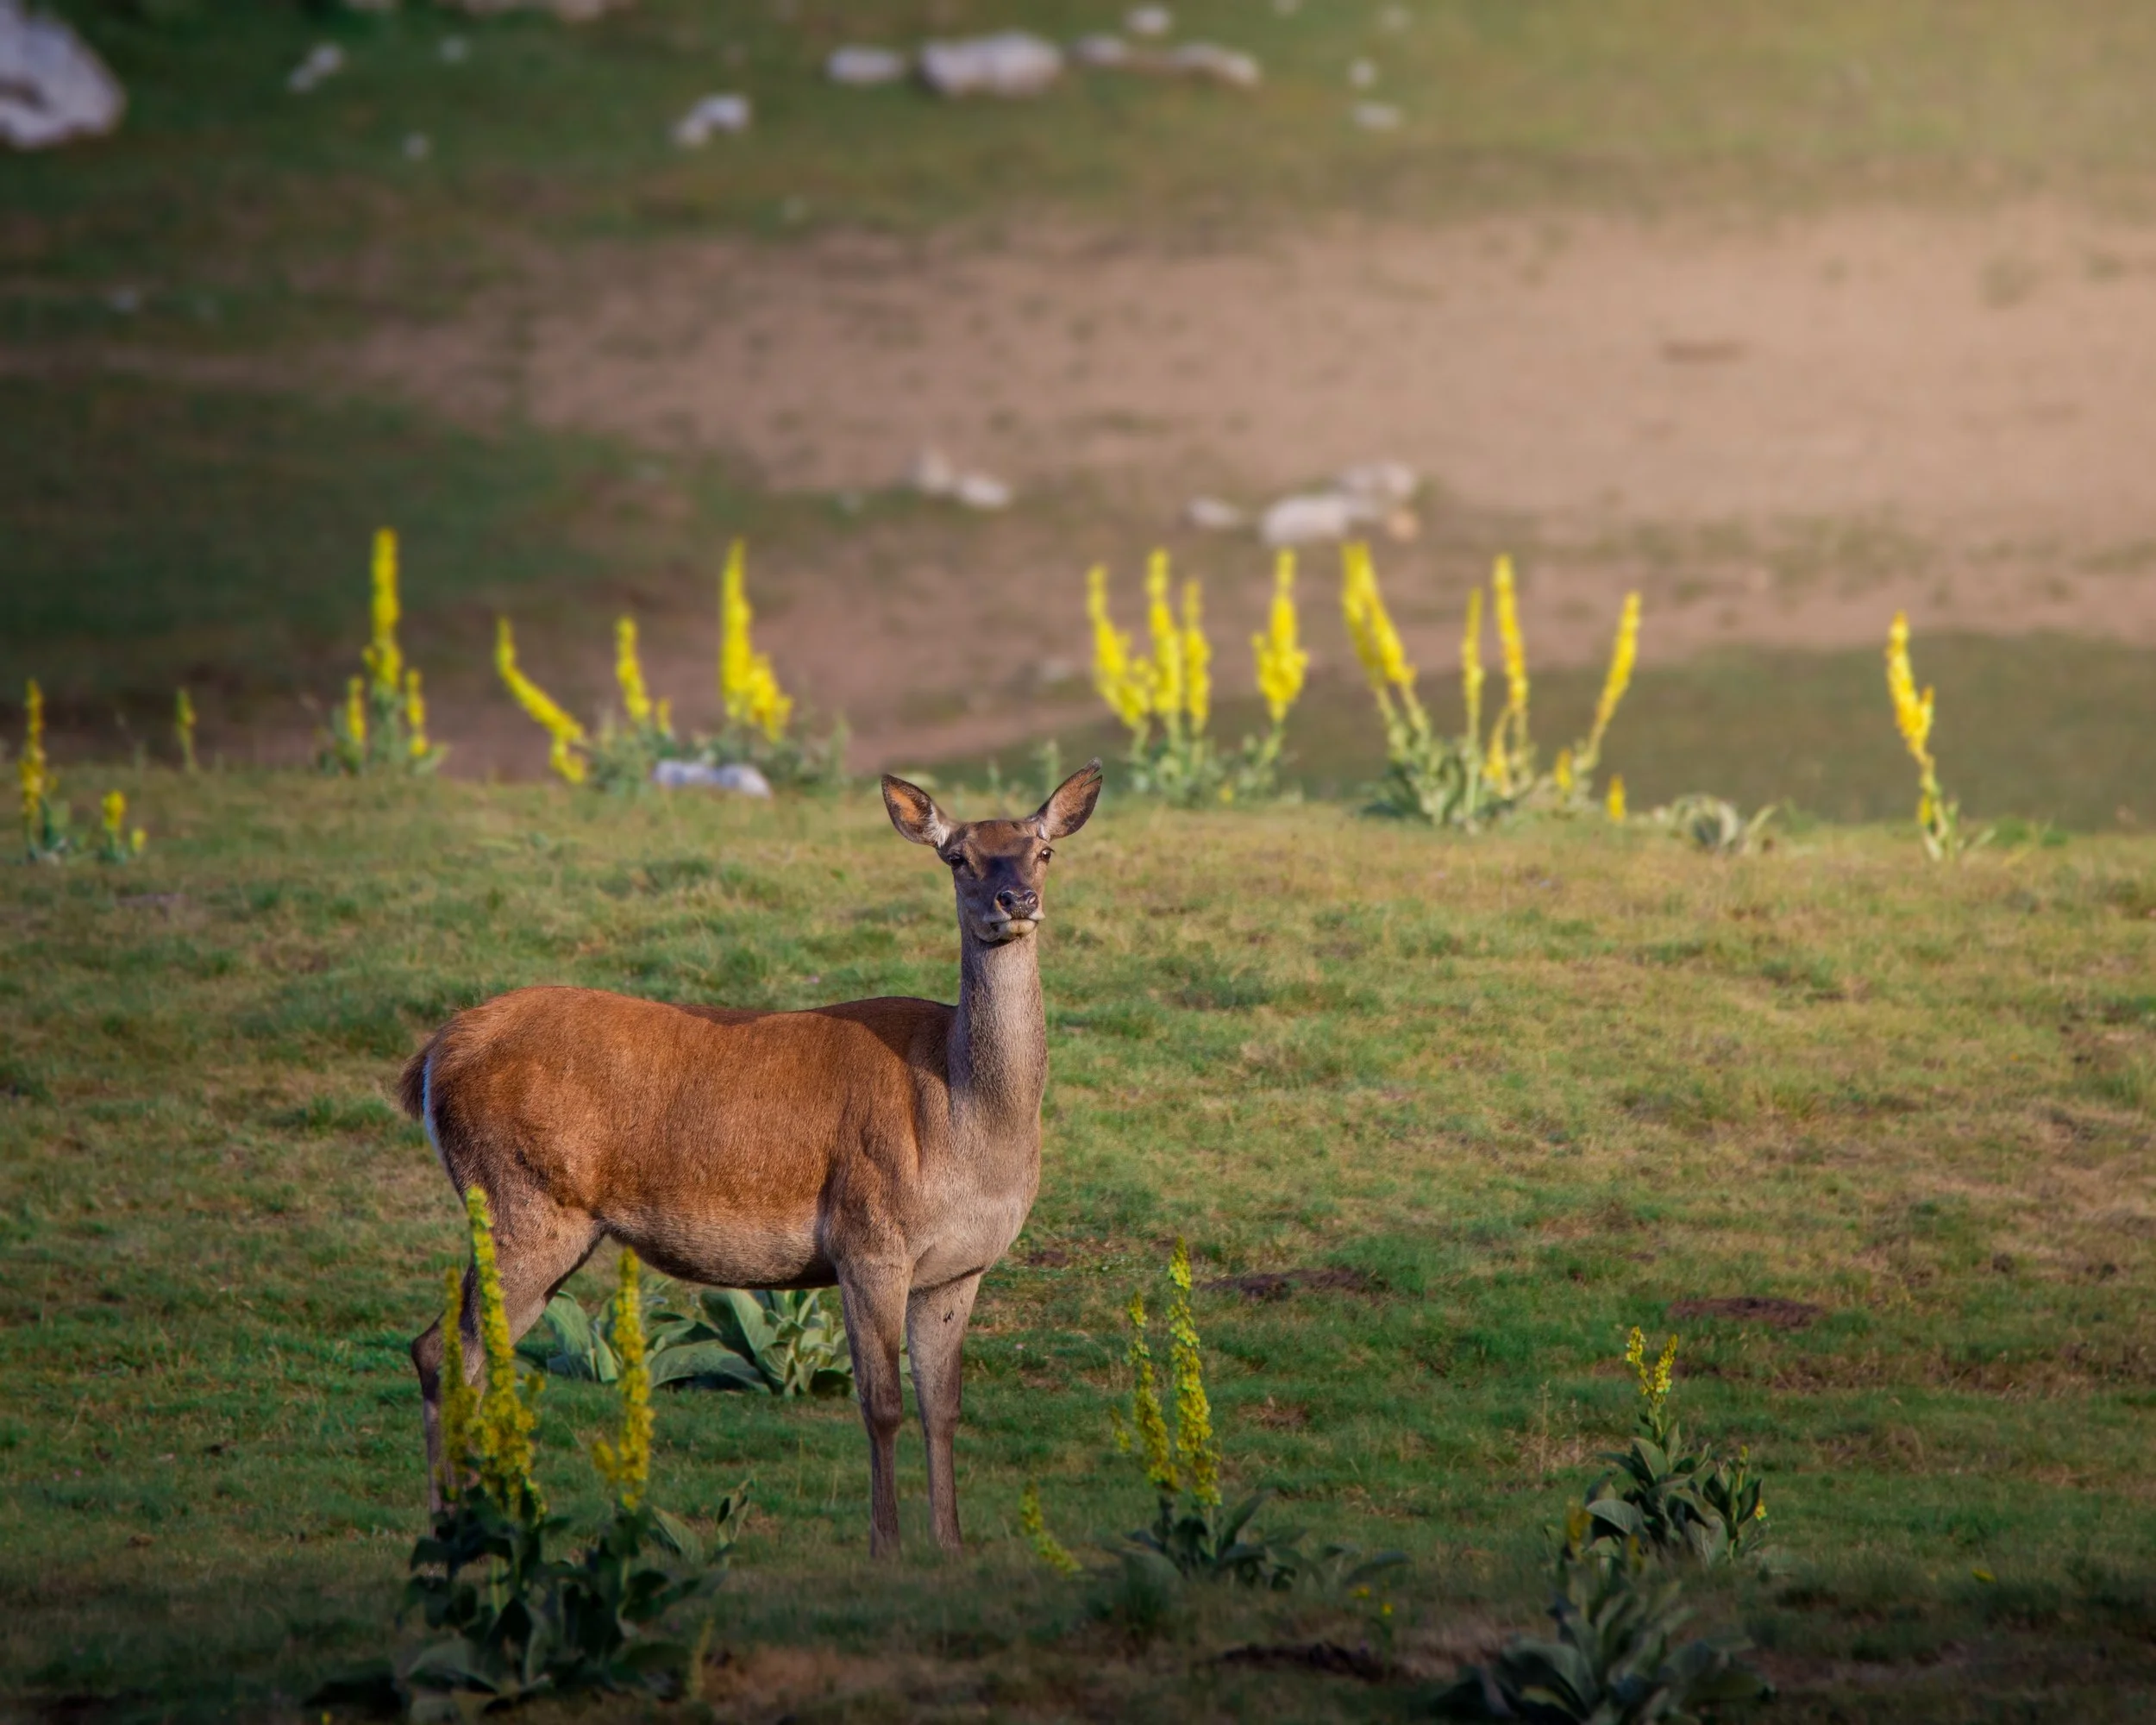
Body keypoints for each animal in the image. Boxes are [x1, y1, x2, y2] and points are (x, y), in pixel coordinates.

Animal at [398, 761, 1102, 1557]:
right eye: (957, 858)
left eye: (1043, 850)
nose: (1017, 901)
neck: (966, 1120)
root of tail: (431, 1059)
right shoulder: (868, 1240)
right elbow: (882, 1404)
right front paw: (886, 1548)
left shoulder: (959, 1267)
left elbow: (943, 1407)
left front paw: (950, 1546)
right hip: (522, 1203)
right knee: (443, 1352)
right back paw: (455, 1528)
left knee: (464, 1354)